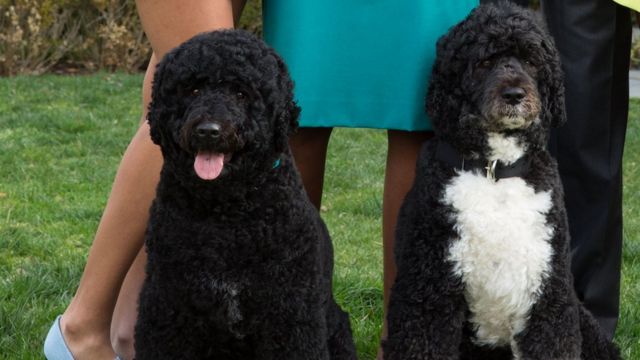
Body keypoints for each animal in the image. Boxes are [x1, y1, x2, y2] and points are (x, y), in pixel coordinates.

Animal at [134, 30, 360, 360]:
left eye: (241, 93)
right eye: (193, 89)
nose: (208, 130)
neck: (226, 215)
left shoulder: (290, 311)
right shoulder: (168, 303)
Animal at [384, 3, 620, 360]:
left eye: (532, 61)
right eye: (484, 62)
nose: (514, 94)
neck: (495, 171)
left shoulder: (548, 297)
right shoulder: (428, 294)